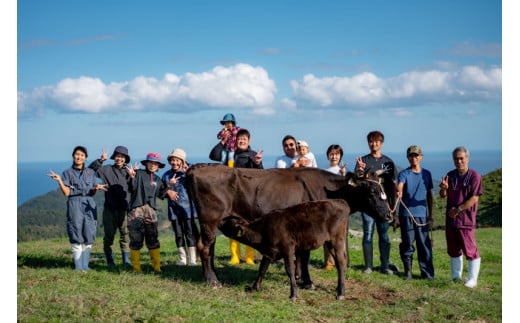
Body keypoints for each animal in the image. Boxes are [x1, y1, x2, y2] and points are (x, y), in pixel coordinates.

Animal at [188, 165, 398, 286]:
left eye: (382, 188)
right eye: (371, 191)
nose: (389, 215)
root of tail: (196, 168)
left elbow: (300, 256)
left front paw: (298, 277)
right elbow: (304, 257)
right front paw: (307, 281)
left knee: (210, 246)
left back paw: (213, 275)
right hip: (210, 218)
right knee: (204, 246)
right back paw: (212, 281)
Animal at [219, 200, 350, 302]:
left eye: (228, 223)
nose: (219, 221)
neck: (263, 230)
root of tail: (340, 202)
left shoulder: (288, 249)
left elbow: (290, 271)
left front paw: (293, 294)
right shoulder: (269, 251)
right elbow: (262, 269)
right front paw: (254, 287)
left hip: (336, 241)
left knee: (340, 263)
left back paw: (341, 293)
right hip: (329, 243)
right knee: (341, 263)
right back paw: (339, 289)